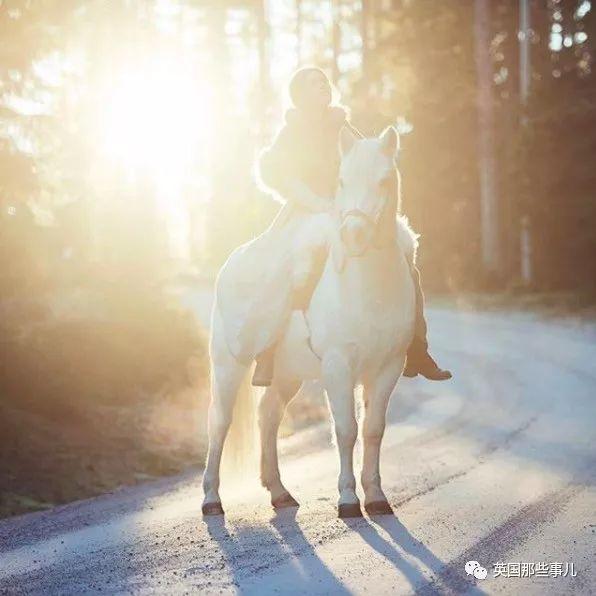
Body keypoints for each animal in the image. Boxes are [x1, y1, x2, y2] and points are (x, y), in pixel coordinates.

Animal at [203, 125, 416, 516]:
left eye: (384, 181)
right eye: (342, 180)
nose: (353, 234)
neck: (367, 290)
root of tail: (232, 262)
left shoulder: (388, 367)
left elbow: (373, 429)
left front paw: (376, 496)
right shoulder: (337, 366)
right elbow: (346, 429)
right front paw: (348, 499)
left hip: (286, 374)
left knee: (268, 416)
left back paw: (278, 491)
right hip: (227, 365)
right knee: (219, 423)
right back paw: (211, 498)